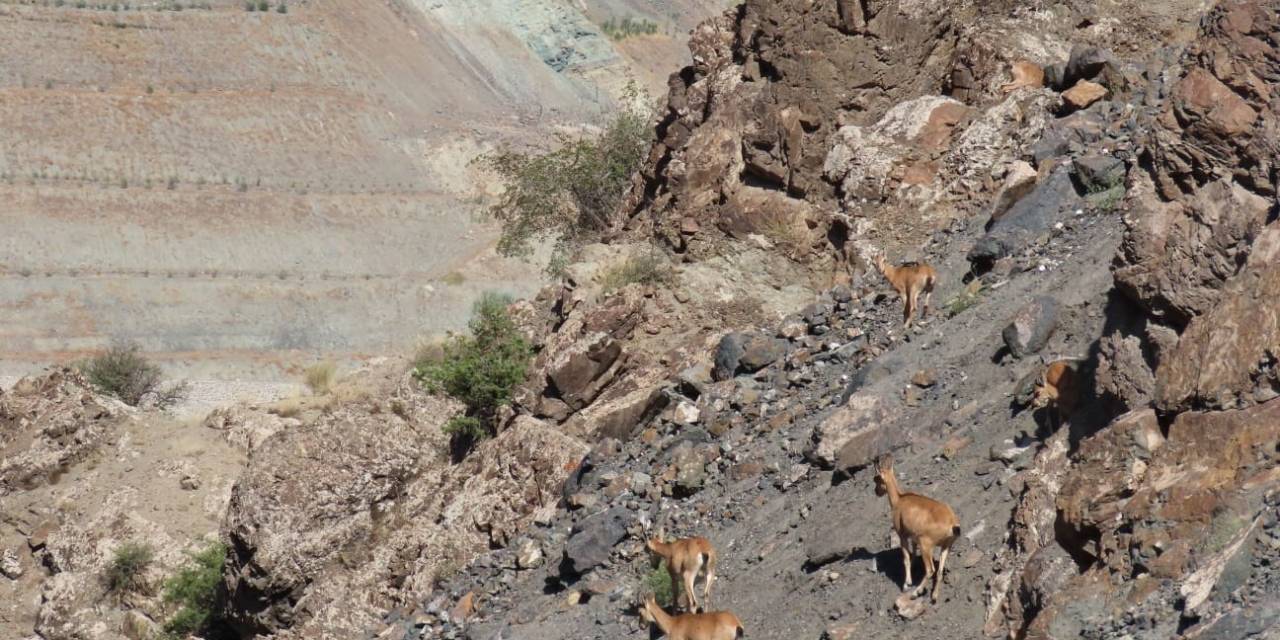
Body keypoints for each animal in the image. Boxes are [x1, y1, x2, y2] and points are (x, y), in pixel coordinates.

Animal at [870, 453, 962, 601]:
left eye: (876, 478)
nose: (876, 491)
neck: (899, 500)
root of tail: (952, 523)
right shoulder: (913, 539)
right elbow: (912, 555)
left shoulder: (902, 535)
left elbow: (906, 558)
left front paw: (906, 584)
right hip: (946, 546)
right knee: (939, 571)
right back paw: (934, 596)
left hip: (926, 545)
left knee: (930, 570)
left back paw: (915, 593)